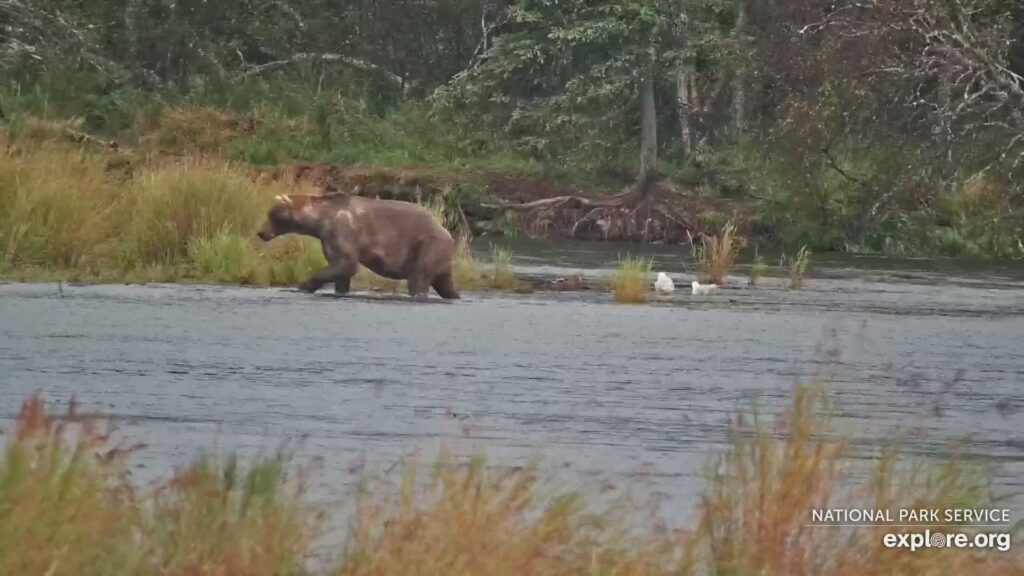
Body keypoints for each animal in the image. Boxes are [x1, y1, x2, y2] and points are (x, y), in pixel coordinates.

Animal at [256, 193, 460, 301]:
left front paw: (302, 286)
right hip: (439, 258)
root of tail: (448, 234)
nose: (260, 232)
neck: (320, 220)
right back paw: (453, 295)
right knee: (444, 283)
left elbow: (347, 264)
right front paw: (339, 291)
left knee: (419, 276)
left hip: (426, 246)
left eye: (272, 215)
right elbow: (340, 270)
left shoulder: (342, 230)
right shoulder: (328, 239)